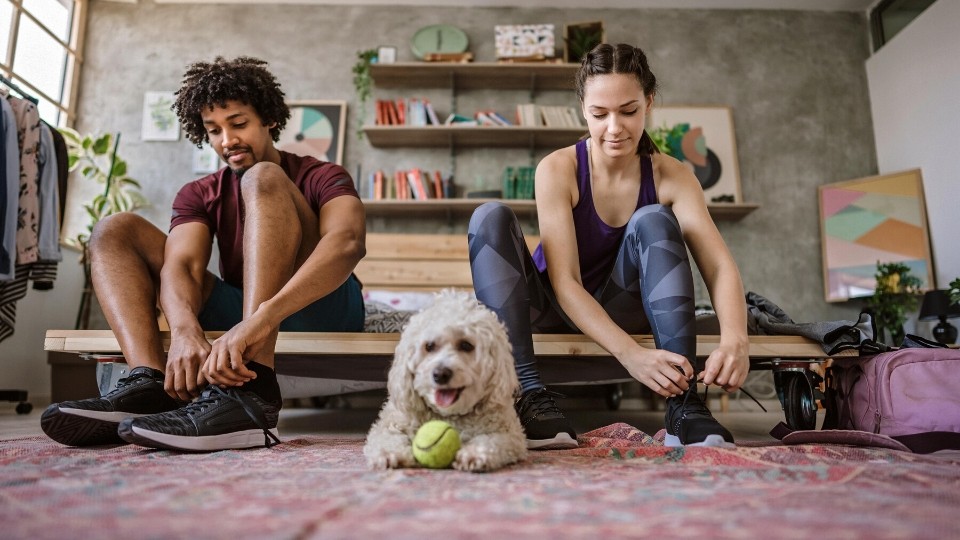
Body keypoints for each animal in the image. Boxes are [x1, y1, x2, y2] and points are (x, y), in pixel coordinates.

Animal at [364, 288, 524, 470]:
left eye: (466, 345)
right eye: (429, 346)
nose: (440, 374)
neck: (449, 414)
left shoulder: (509, 434)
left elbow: (491, 440)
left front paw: (474, 453)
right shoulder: (389, 425)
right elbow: (387, 438)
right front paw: (389, 454)